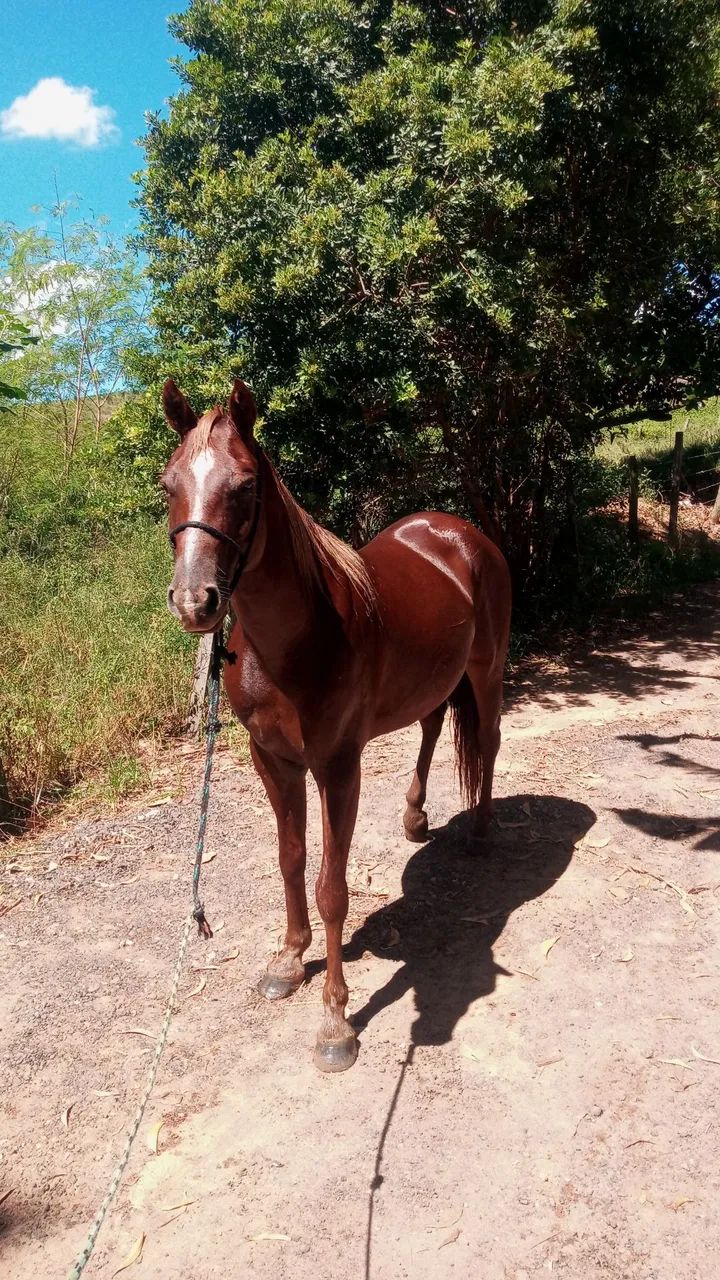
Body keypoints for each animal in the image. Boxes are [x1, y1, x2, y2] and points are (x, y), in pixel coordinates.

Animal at [161, 376, 512, 1072]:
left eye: (245, 485)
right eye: (168, 483)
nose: (195, 602)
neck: (295, 642)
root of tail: (463, 535)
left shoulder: (337, 767)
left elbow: (331, 887)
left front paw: (335, 1021)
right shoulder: (273, 759)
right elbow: (290, 858)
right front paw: (289, 959)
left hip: (486, 672)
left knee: (485, 742)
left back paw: (482, 832)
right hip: (435, 680)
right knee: (432, 728)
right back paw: (415, 818)